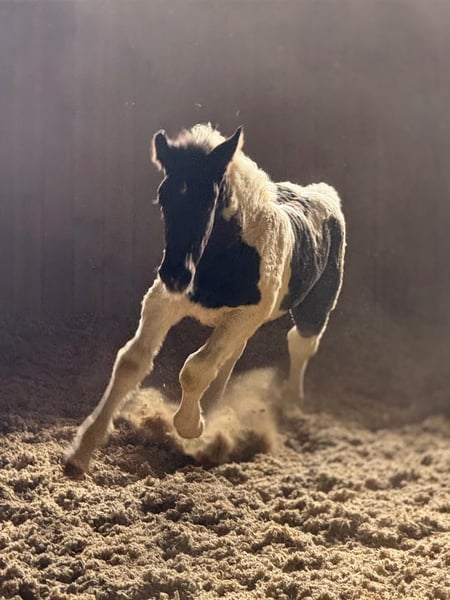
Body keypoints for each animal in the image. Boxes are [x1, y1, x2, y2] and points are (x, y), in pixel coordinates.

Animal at [65, 124, 346, 475]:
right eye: (163, 198)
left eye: (209, 200)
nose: (175, 274)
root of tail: (324, 195)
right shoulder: (163, 301)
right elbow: (132, 360)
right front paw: (81, 451)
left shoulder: (243, 315)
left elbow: (194, 369)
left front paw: (192, 426)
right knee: (233, 355)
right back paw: (213, 406)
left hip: (314, 308)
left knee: (300, 343)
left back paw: (291, 404)